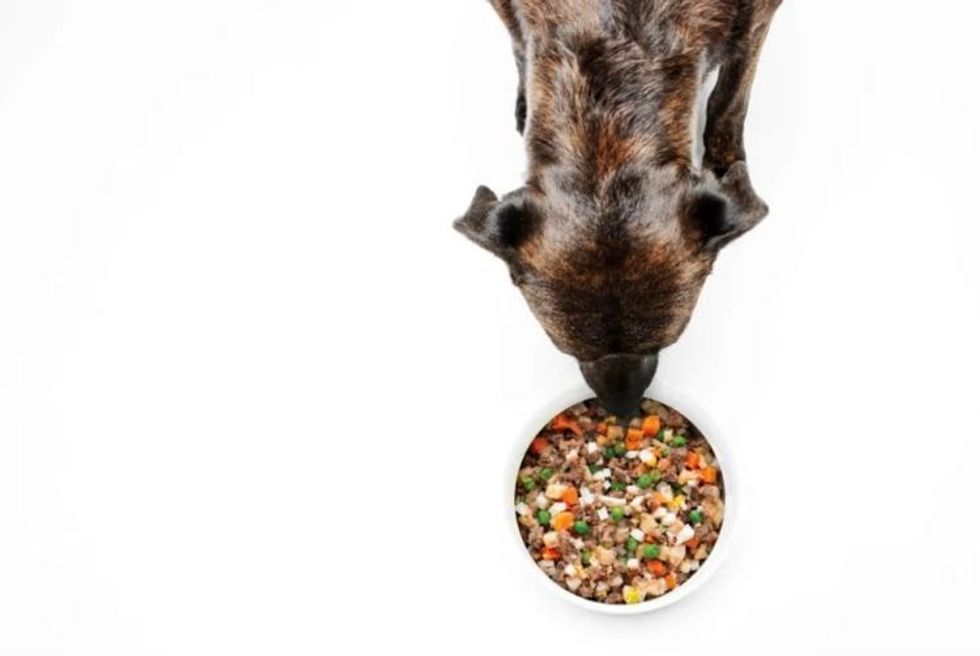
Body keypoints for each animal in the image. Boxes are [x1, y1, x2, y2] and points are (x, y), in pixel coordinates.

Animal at [452, 0, 780, 416]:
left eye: (669, 341)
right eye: (563, 347)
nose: (622, 410)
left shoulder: (758, 18)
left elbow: (730, 98)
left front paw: (724, 163)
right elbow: (517, 39)